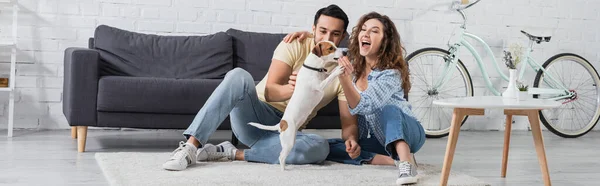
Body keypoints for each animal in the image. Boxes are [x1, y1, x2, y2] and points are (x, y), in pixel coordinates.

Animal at [248, 40, 346, 170]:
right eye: (331, 48)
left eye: (335, 45)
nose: (346, 52)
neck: (314, 68)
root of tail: (282, 124)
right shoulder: (320, 86)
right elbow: (330, 77)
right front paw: (338, 70)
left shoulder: (323, 76)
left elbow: (329, 73)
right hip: (289, 141)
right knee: (281, 156)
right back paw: (284, 170)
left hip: (292, 139)